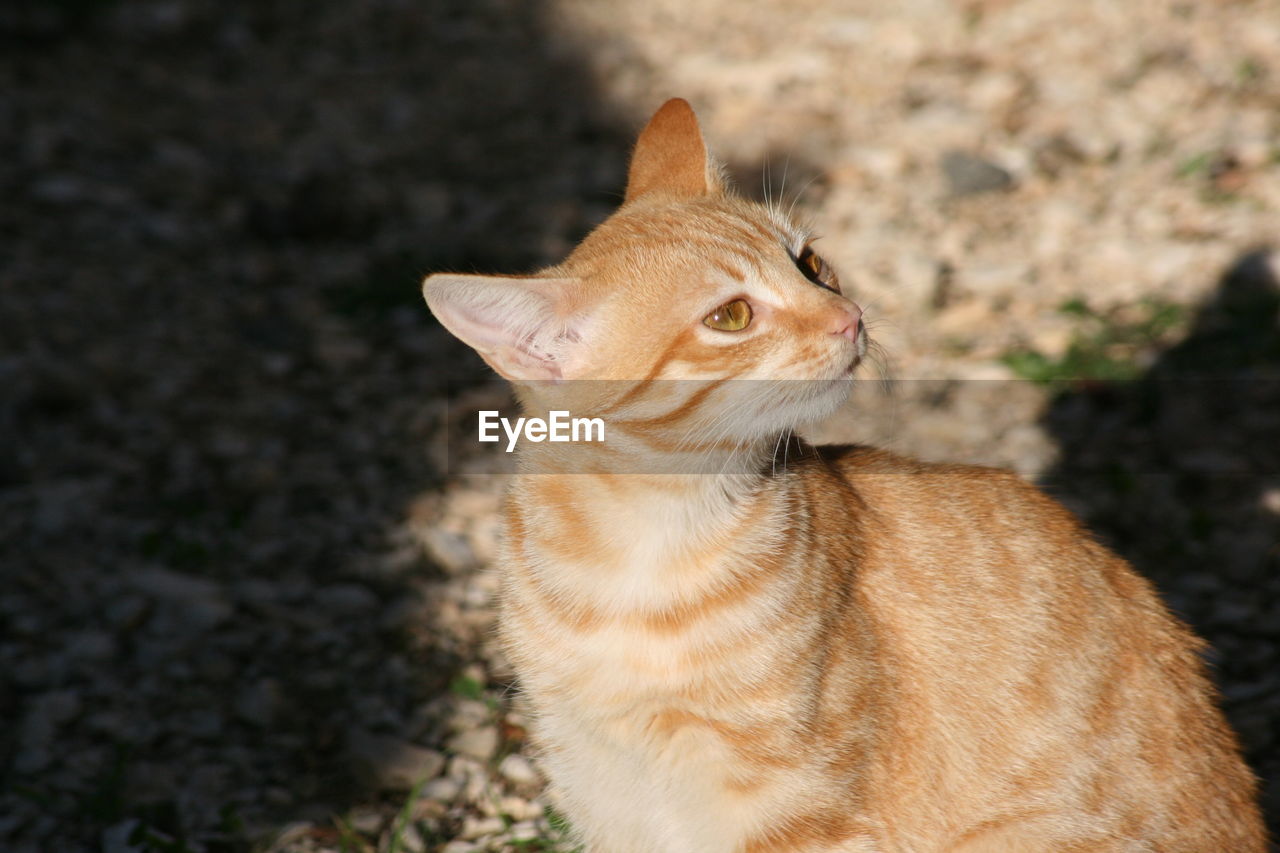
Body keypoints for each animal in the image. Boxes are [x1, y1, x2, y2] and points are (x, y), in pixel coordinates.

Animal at [419, 101, 1259, 850]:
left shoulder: (799, 809)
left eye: (809, 262)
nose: (848, 316)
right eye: (730, 317)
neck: (641, 554)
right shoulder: (598, 779)